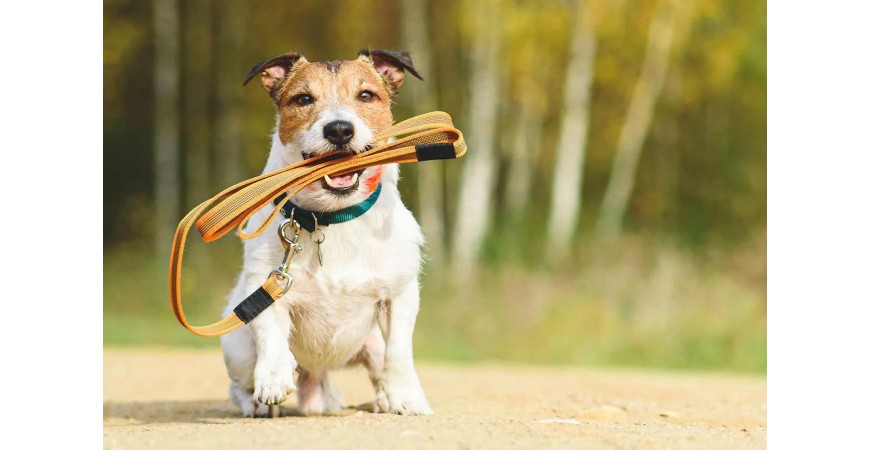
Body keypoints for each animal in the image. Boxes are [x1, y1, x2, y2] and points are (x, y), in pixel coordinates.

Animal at [221, 50, 432, 418]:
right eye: (303, 99)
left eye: (366, 95)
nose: (339, 129)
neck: (334, 216)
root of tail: (316, 378)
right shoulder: (265, 284)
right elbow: (271, 332)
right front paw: (273, 378)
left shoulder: (400, 294)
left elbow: (399, 352)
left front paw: (406, 397)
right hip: (239, 348)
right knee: (239, 386)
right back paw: (258, 404)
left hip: (371, 344)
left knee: (379, 367)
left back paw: (384, 399)